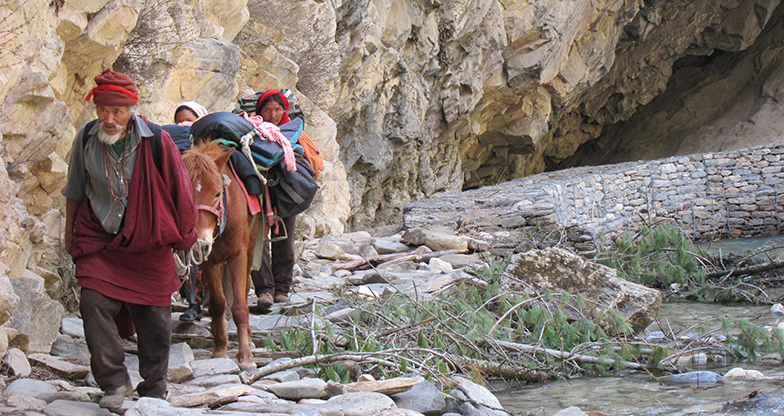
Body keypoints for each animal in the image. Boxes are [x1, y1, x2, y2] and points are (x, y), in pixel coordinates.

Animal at [182, 141, 258, 370]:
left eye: (217, 194)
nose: (200, 242)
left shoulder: (238, 255)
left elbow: (240, 306)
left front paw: (246, 357)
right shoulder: (209, 261)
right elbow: (218, 303)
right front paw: (220, 349)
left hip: (251, 246)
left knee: (245, 288)